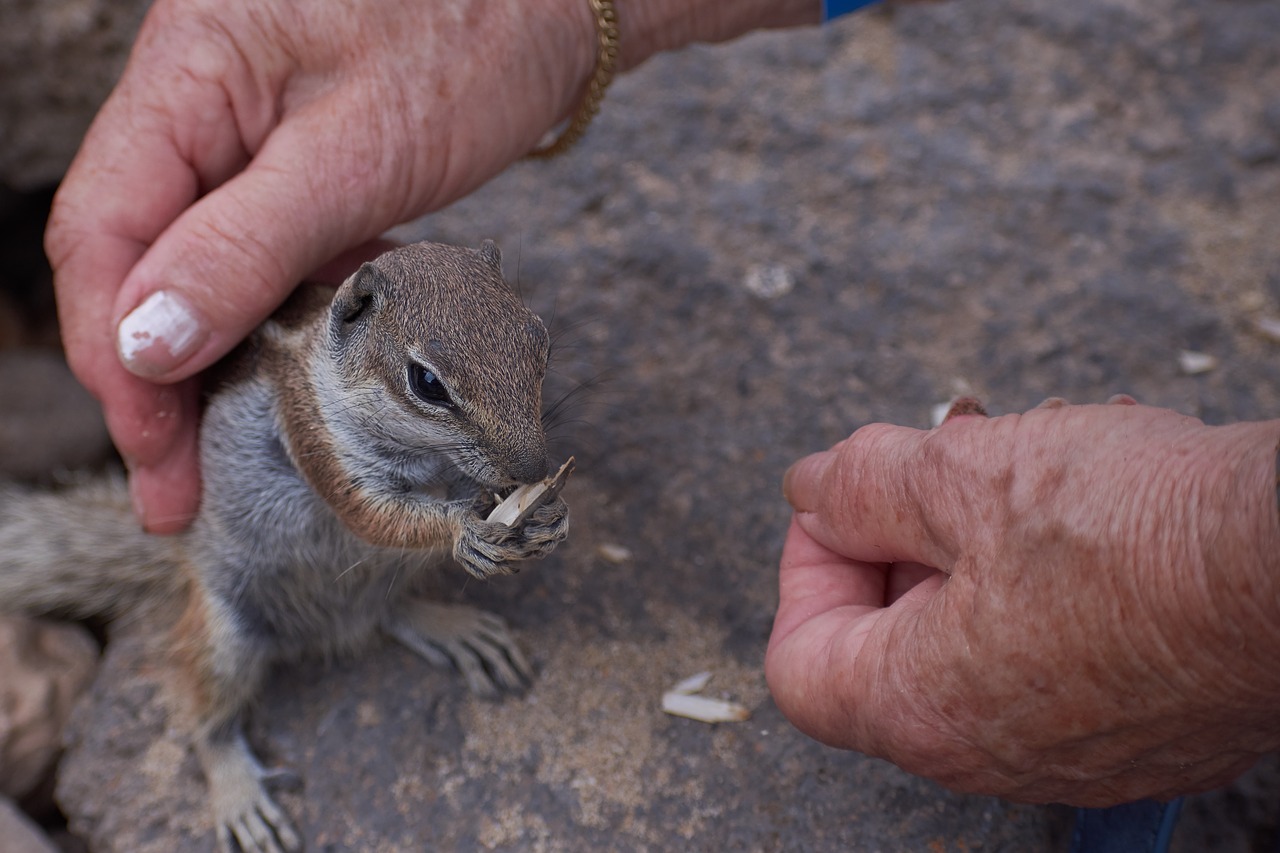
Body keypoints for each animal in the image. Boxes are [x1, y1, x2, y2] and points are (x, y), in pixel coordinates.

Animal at [0, 240, 570, 850]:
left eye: (541, 339)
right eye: (426, 382)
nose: (533, 468)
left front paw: (548, 513)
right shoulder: (314, 435)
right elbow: (375, 517)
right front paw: (467, 529)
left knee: (388, 609)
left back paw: (452, 627)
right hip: (224, 636)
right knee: (205, 719)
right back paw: (240, 797)